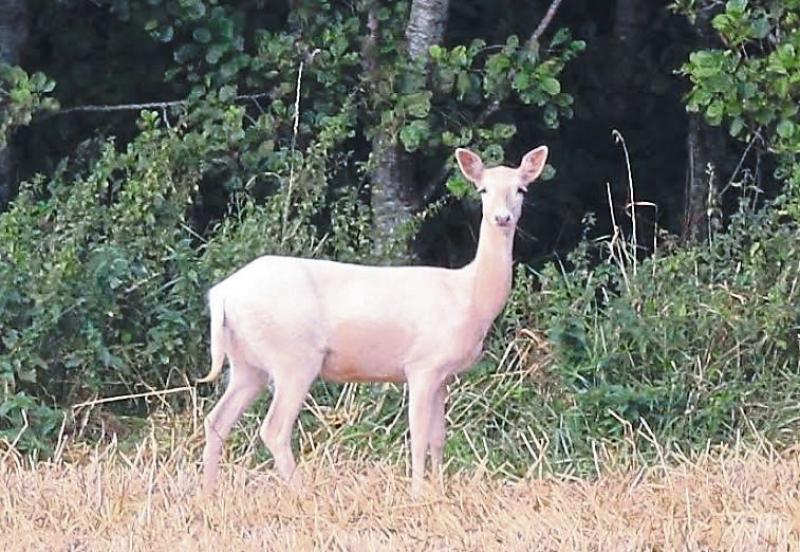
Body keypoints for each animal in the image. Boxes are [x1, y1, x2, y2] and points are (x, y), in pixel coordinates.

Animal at [198, 145, 549, 497]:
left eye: (521, 189)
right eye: (483, 190)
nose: (502, 217)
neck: (469, 297)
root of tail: (222, 294)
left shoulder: (444, 375)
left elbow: (439, 437)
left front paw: (439, 491)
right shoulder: (422, 365)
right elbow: (419, 436)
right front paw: (417, 494)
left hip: (247, 363)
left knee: (216, 420)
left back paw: (209, 494)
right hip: (292, 356)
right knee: (274, 429)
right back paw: (303, 493)